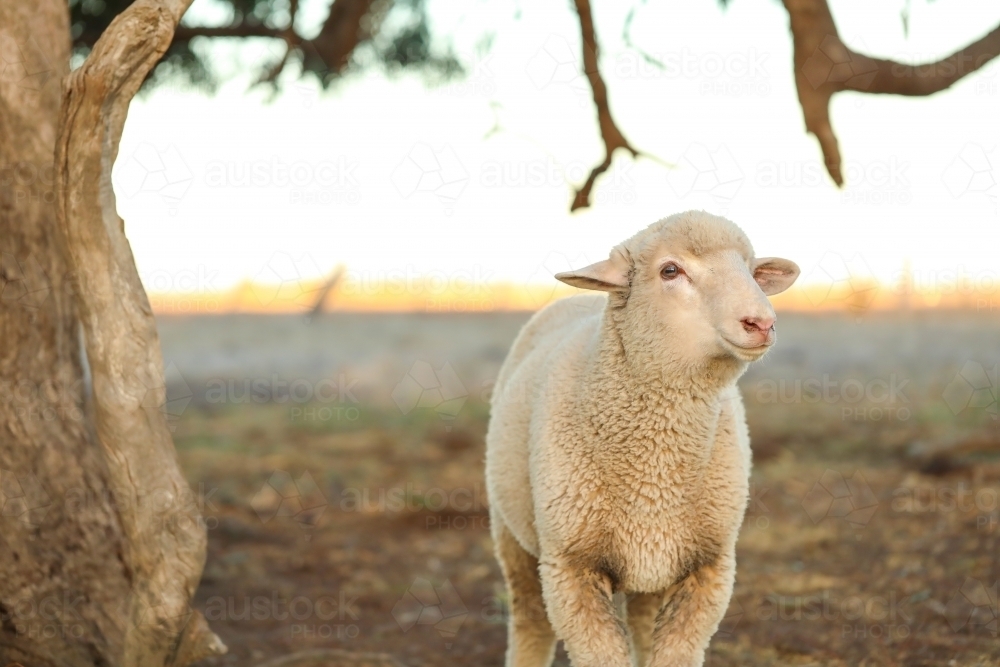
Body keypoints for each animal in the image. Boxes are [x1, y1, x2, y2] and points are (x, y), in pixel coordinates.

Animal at [485, 211, 799, 667]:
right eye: (670, 270)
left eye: (750, 268)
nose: (761, 322)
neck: (653, 477)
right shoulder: (569, 568)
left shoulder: (709, 567)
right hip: (514, 535)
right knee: (530, 620)